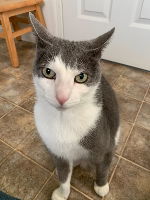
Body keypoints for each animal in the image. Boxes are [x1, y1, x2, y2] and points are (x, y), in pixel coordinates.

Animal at [29, 12, 120, 200]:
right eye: (48, 72)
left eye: (81, 77)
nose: (62, 96)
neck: (63, 119)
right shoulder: (58, 153)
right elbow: (63, 175)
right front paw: (61, 194)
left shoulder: (104, 145)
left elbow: (103, 167)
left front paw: (101, 186)